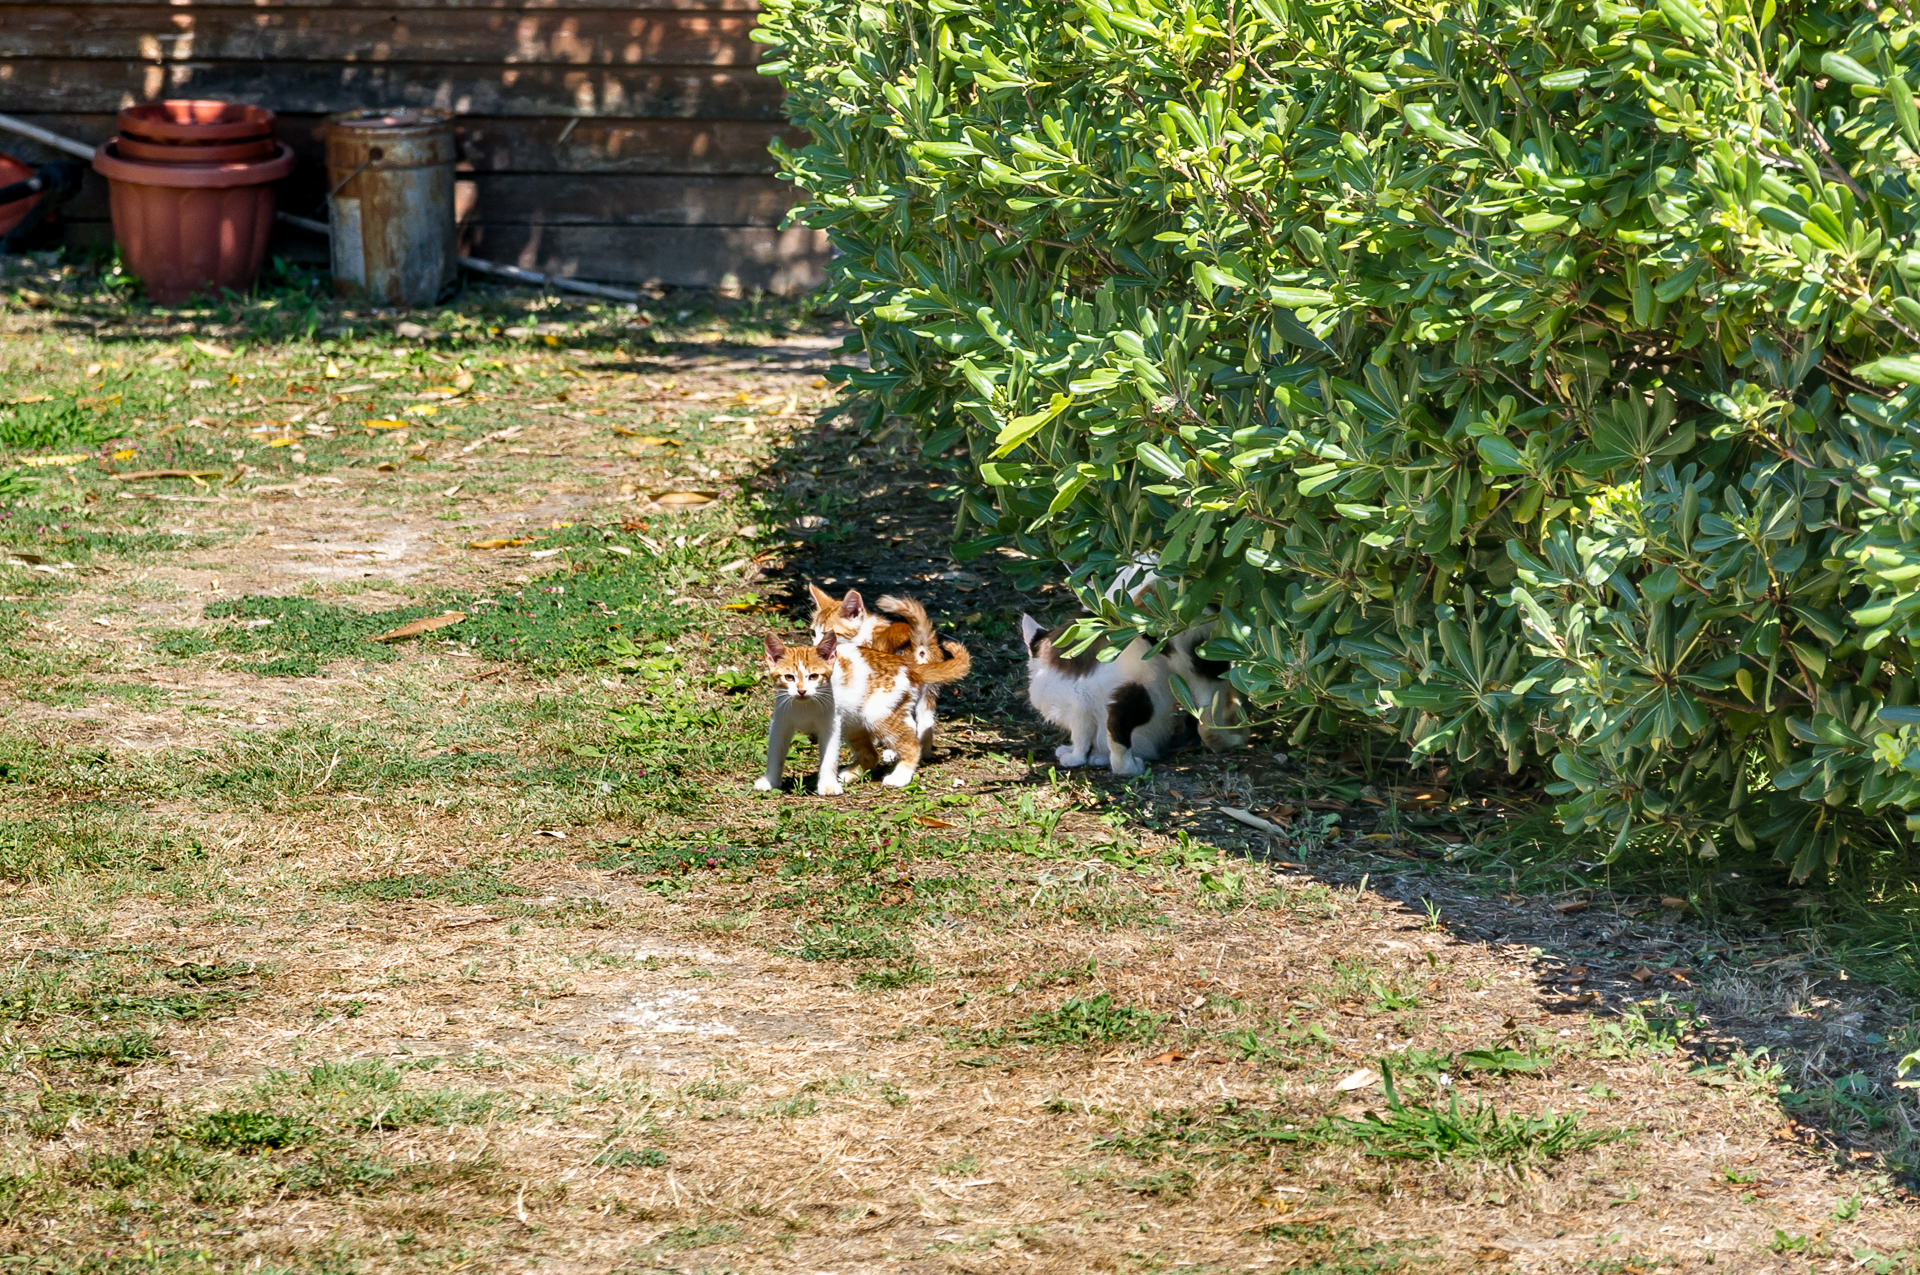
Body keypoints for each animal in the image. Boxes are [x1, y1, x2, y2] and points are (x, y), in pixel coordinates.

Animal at [752, 633, 879, 791]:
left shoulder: (831, 723)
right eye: (789, 677)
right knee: (870, 754)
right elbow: (775, 752)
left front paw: (828, 784)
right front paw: (770, 780)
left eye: (813, 676)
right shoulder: (780, 722)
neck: (804, 706)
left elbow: (830, 754)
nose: (801, 691)